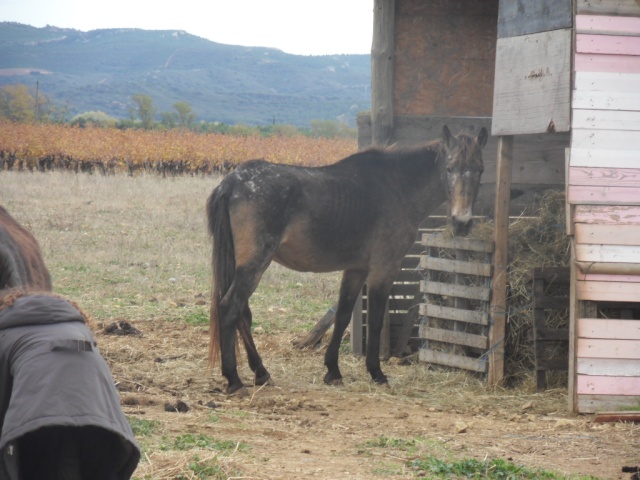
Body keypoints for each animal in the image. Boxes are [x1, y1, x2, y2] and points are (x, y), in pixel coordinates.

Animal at [208, 125, 488, 396]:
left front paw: (333, 370)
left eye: (480, 170)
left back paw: (261, 373)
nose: (462, 223)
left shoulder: (356, 269)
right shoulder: (384, 268)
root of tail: (232, 182)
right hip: (255, 264)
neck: (397, 187)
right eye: (449, 168)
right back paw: (234, 380)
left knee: (243, 314)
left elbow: (342, 315)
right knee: (230, 308)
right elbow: (374, 320)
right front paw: (376, 373)